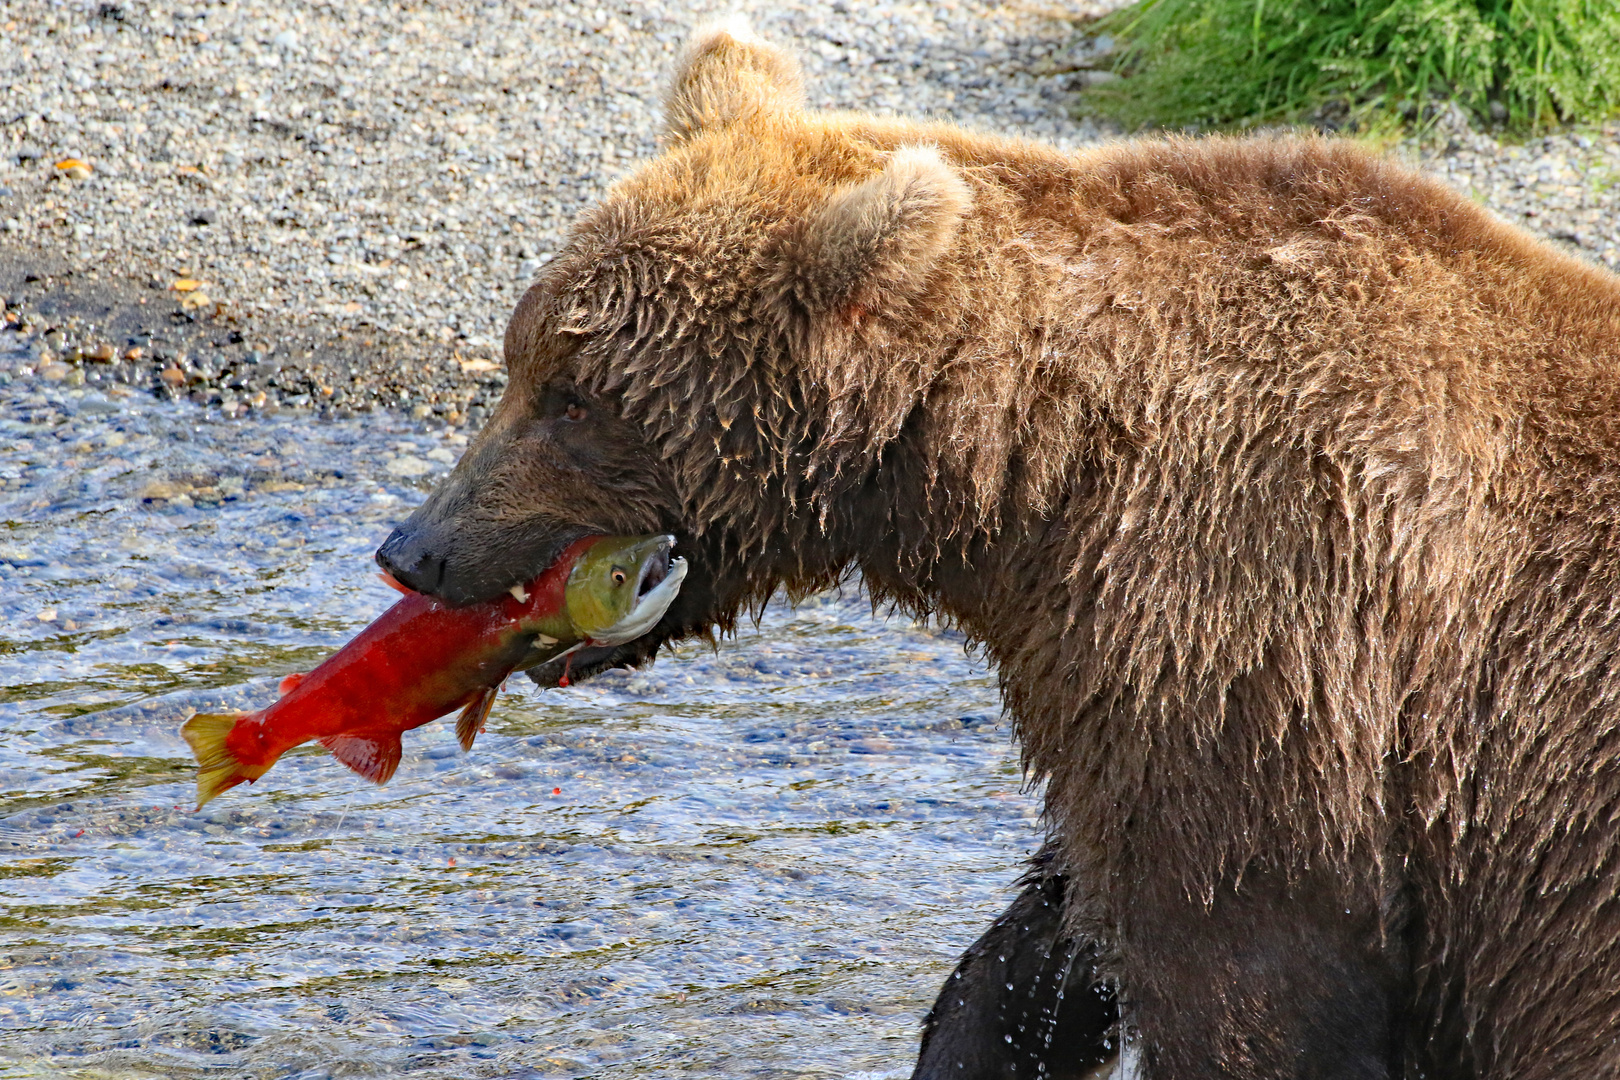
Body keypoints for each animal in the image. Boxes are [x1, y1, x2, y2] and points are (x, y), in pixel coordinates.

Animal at [372, 23, 1620, 1080]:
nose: (412, 550)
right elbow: (1051, 937)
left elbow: (1239, 961)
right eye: (521, 358)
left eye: (575, 395)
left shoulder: (1258, 643)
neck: (1041, 478)